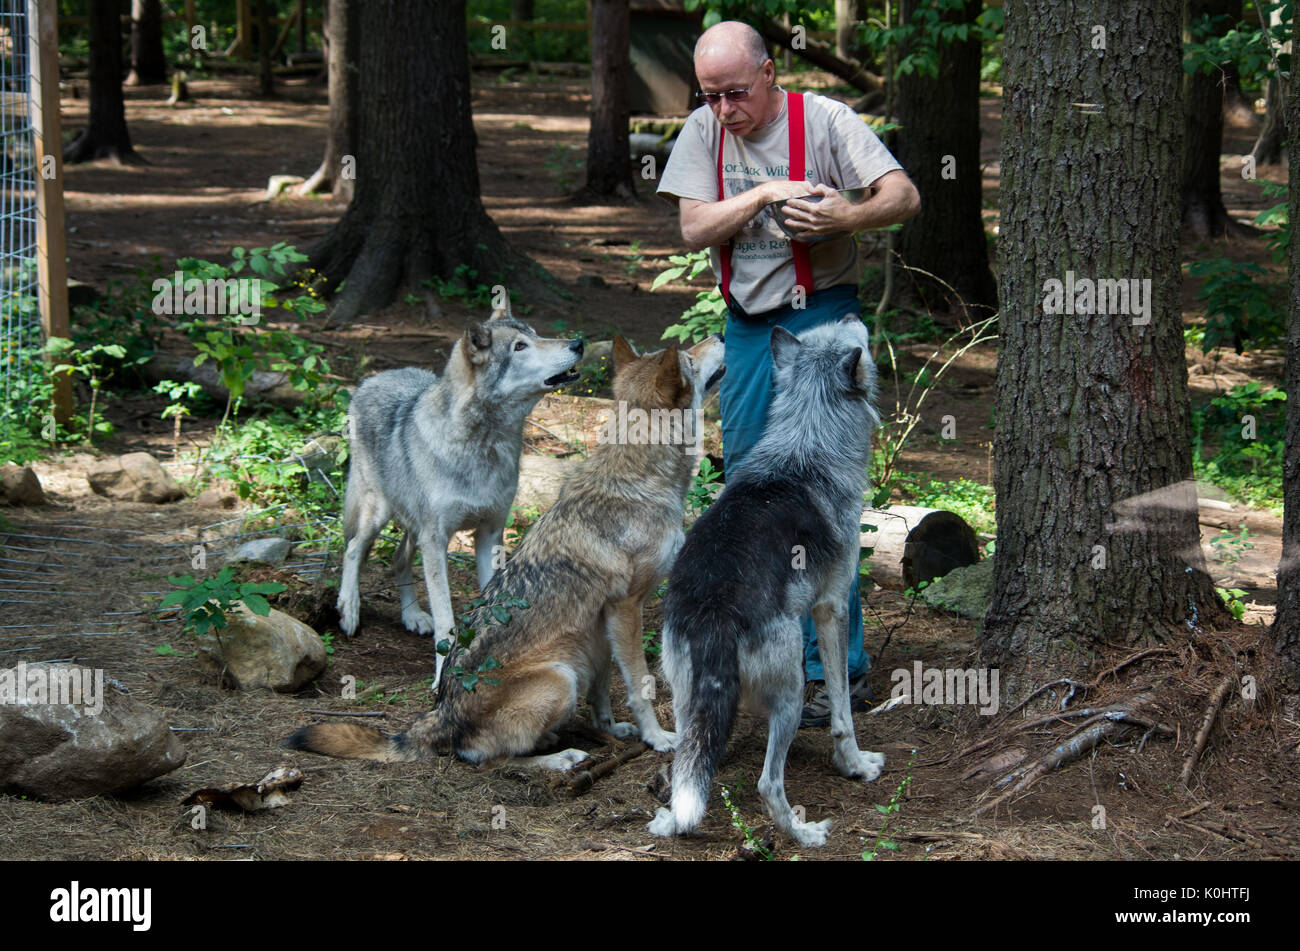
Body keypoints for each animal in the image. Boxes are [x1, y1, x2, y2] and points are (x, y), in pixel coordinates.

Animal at [335, 302, 585, 685]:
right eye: (520, 347)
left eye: (536, 334)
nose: (577, 343)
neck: (485, 446)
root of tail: (374, 377)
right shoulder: (437, 540)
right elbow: (446, 621)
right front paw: (443, 674)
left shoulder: (489, 534)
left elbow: (490, 607)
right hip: (379, 513)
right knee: (353, 549)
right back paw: (349, 610)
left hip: (414, 526)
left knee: (398, 557)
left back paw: (412, 616)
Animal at [647, 315, 883, 841]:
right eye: (853, 335)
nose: (854, 315)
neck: (809, 444)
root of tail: (713, 610)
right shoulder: (832, 608)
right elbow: (843, 713)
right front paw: (855, 765)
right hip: (792, 689)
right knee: (767, 784)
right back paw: (805, 833)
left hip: (685, 701)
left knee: (684, 767)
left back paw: (669, 821)